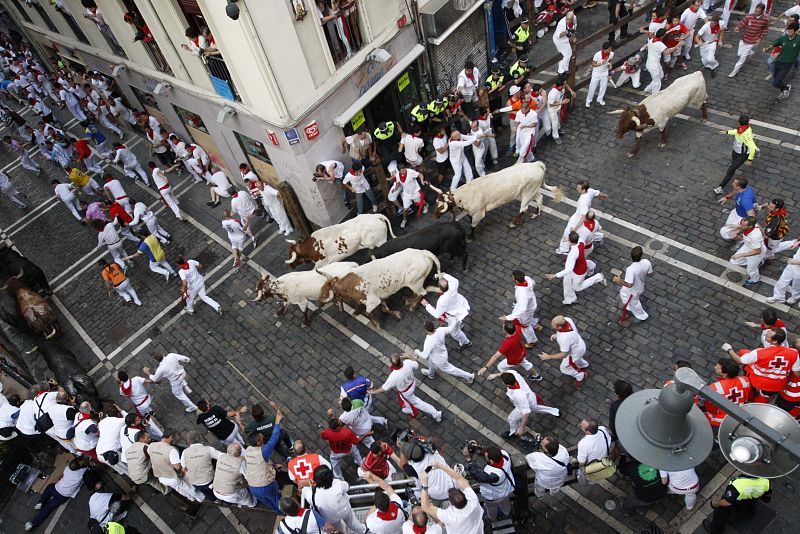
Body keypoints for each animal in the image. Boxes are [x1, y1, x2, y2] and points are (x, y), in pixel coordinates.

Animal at [432, 161, 564, 237]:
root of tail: (536, 164)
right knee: (540, 198)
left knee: (524, 208)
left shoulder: (479, 214)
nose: (435, 215)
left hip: (528, 192)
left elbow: (473, 225)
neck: (465, 195)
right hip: (533, 190)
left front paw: (470, 236)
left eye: (441, 206)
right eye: (437, 202)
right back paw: (536, 214)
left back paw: (513, 223)